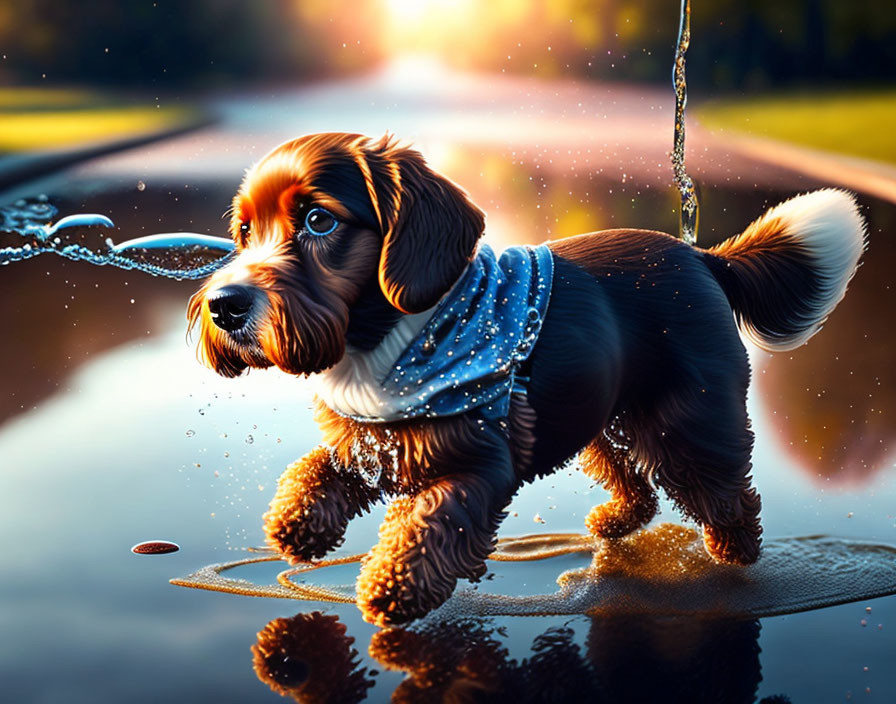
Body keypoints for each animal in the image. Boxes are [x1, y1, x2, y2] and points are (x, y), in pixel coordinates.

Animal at [189, 132, 868, 628]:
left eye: (317, 221)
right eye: (244, 231)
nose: (224, 306)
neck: (383, 339)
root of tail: (703, 257)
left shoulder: (477, 461)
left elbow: (429, 524)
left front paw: (393, 586)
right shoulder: (368, 436)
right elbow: (316, 469)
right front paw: (297, 526)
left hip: (685, 420)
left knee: (727, 492)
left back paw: (733, 553)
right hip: (598, 412)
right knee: (637, 487)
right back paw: (613, 523)